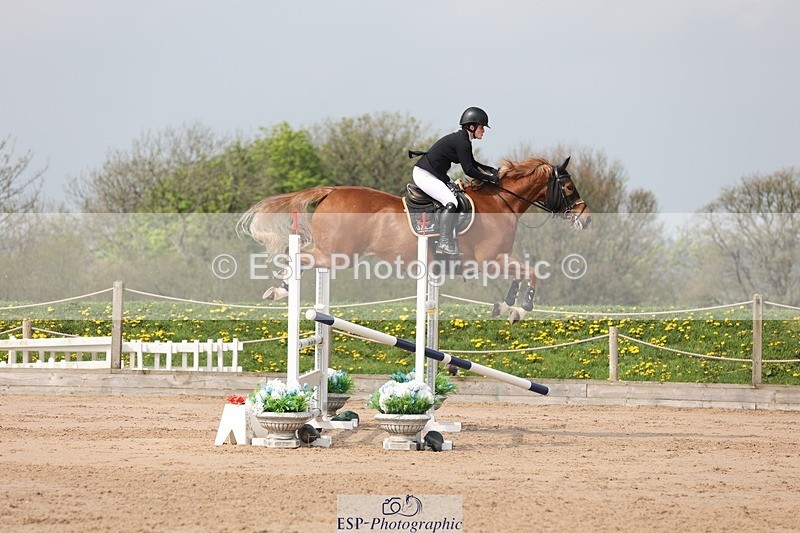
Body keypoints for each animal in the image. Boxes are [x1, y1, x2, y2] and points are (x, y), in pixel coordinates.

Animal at [239, 156, 591, 323]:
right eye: (569, 187)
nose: (586, 218)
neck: (500, 203)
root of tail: (332, 191)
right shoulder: (489, 261)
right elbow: (531, 273)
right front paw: (521, 310)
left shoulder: (499, 259)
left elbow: (522, 274)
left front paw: (505, 306)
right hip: (338, 255)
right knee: (297, 254)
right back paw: (280, 289)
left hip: (334, 254)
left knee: (296, 253)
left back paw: (279, 289)